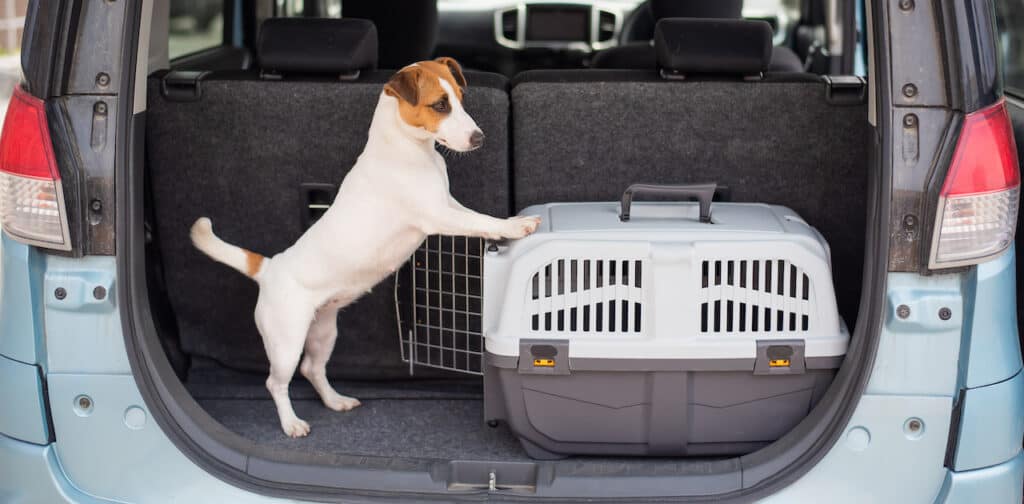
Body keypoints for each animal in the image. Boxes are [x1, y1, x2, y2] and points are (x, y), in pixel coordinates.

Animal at [193, 58, 544, 436]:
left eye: (461, 99)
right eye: (440, 104)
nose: (480, 138)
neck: (408, 149)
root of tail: (270, 268)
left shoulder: (449, 204)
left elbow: (476, 214)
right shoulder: (437, 216)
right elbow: (481, 220)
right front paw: (515, 226)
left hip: (324, 331)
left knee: (312, 369)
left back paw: (335, 401)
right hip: (286, 341)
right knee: (277, 382)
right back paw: (291, 423)